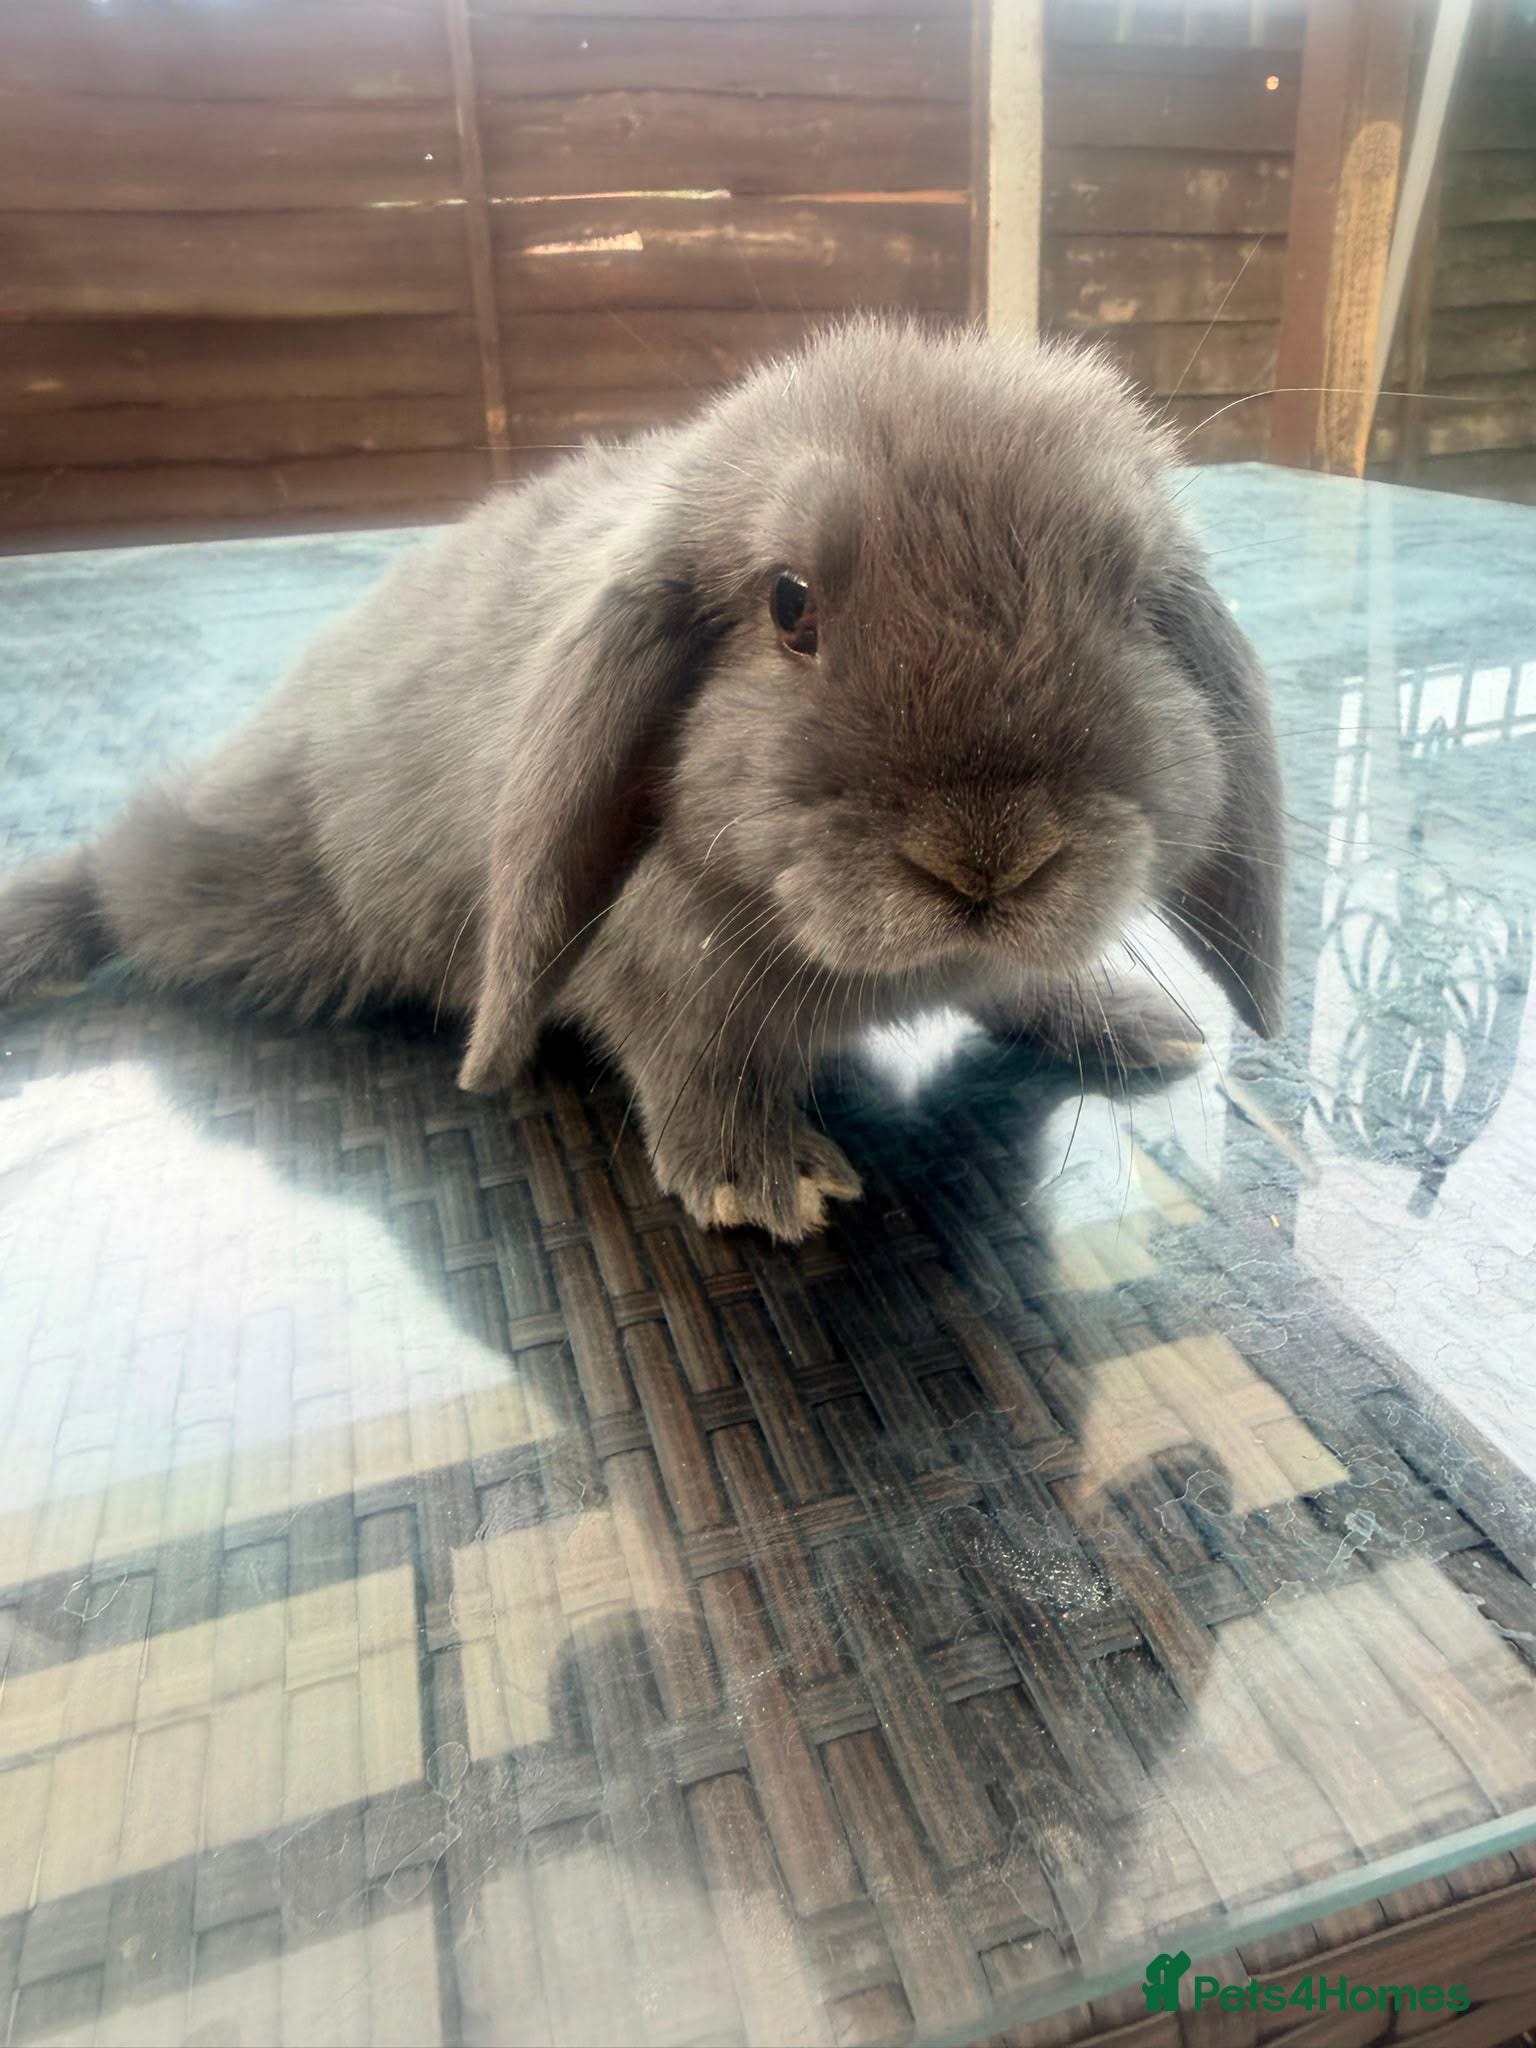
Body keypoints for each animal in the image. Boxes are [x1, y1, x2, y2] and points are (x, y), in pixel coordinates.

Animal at [0, 319, 1284, 1241]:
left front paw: (1135, 1024)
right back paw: (40, 926)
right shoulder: (656, 975)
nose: (991, 856)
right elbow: (692, 1065)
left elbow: (1024, 984)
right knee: (120, 875)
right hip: (249, 891)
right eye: (790, 604)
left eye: (1130, 595)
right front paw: (762, 1183)